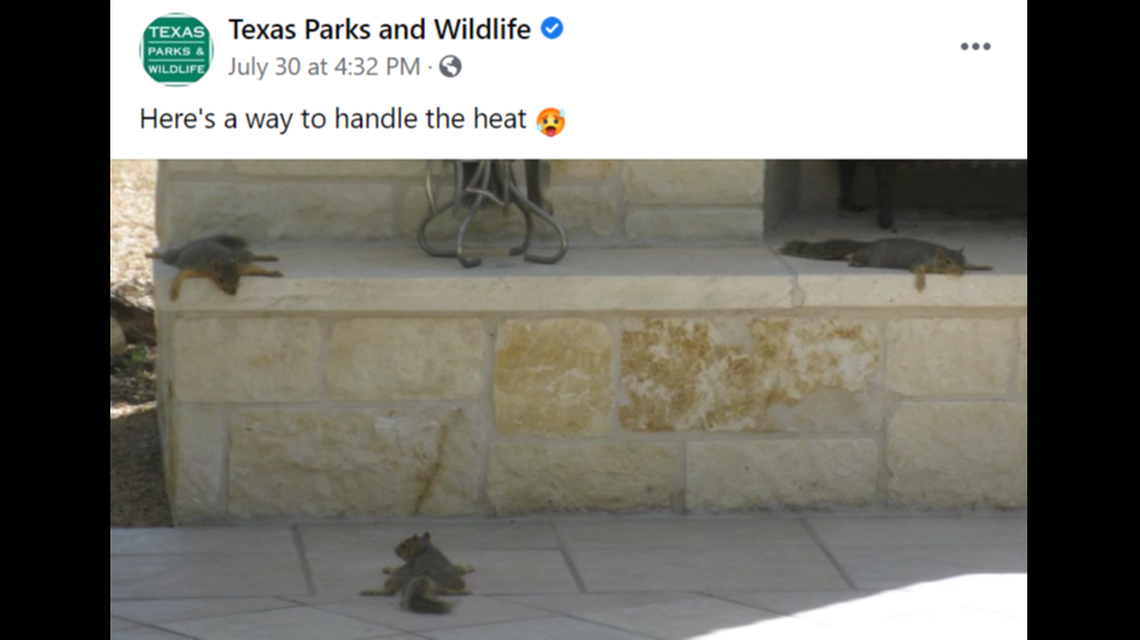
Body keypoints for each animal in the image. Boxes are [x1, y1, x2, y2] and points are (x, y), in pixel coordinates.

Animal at [148, 235, 282, 301]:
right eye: (220, 279)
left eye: (238, 278)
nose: (232, 292)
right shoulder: (201, 269)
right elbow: (182, 274)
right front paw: (174, 291)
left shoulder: (240, 268)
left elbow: (256, 269)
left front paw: (272, 273)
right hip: (174, 256)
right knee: (167, 255)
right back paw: (154, 254)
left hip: (237, 256)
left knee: (250, 255)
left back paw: (269, 257)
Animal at [780, 238, 992, 292]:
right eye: (948, 261)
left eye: (963, 260)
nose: (960, 272)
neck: (934, 257)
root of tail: (868, 244)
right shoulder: (920, 261)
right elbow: (918, 270)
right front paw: (921, 283)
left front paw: (981, 266)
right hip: (869, 256)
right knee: (856, 255)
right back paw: (854, 261)